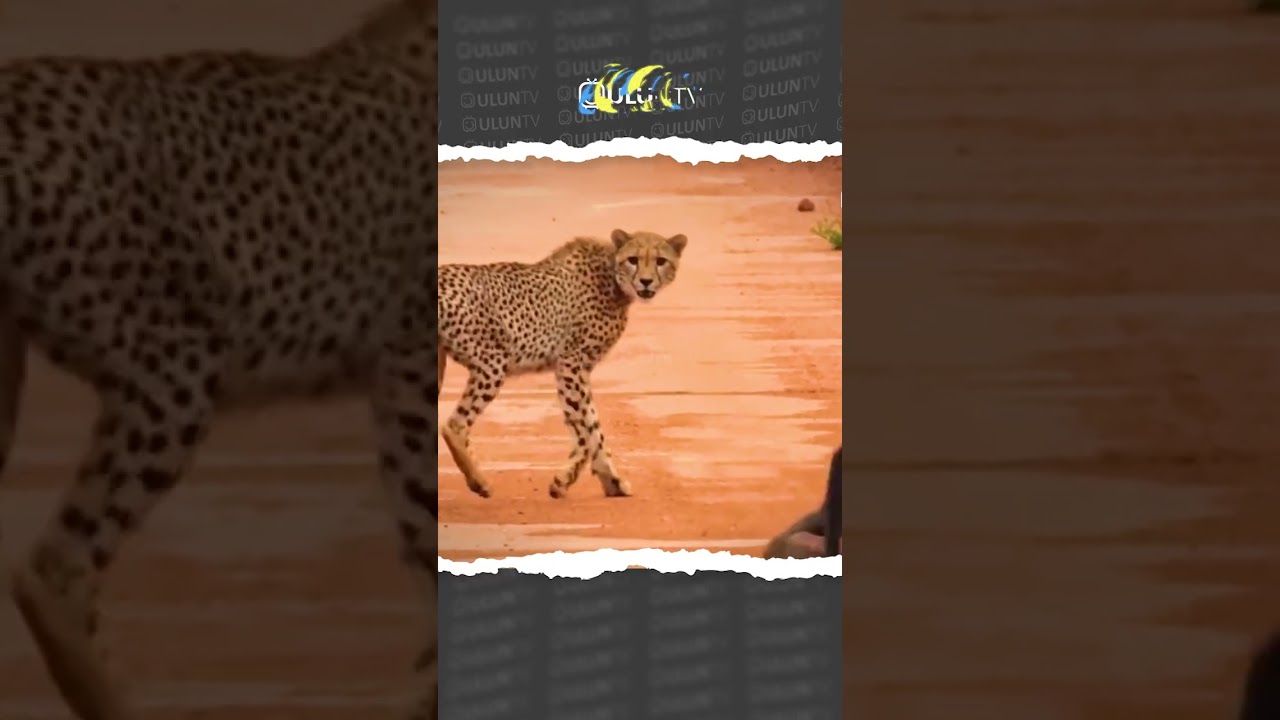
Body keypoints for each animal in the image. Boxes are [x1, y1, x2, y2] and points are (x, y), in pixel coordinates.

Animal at [438, 229, 688, 500]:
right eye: (633, 259)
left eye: (660, 261)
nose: (646, 281)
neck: (613, 274)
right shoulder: (571, 364)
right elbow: (586, 429)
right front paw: (566, 479)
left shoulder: (573, 368)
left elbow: (593, 427)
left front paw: (612, 482)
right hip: (493, 361)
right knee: (454, 424)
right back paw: (479, 481)